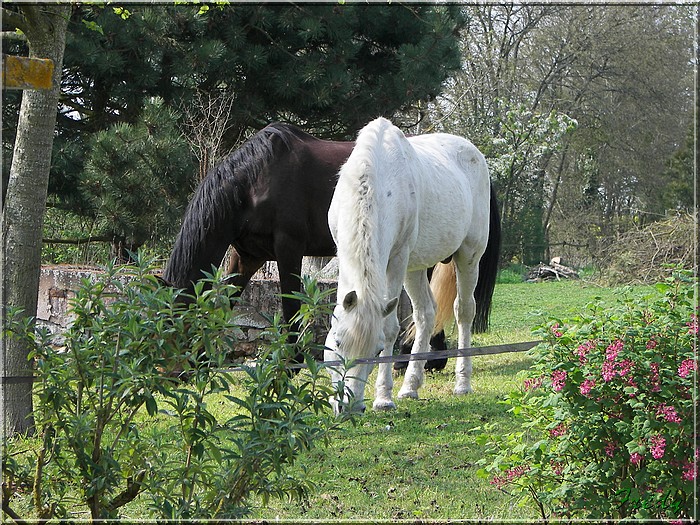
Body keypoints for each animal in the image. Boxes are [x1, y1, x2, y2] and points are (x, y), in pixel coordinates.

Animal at [322, 116, 498, 412]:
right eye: (337, 343)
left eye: (377, 351)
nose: (350, 407)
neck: (376, 180)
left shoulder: (396, 261)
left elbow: (390, 328)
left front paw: (383, 398)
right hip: (415, 269)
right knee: (426, 314)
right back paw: (410, 386)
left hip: (468, 256)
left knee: (463, 312)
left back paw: (462, 383)